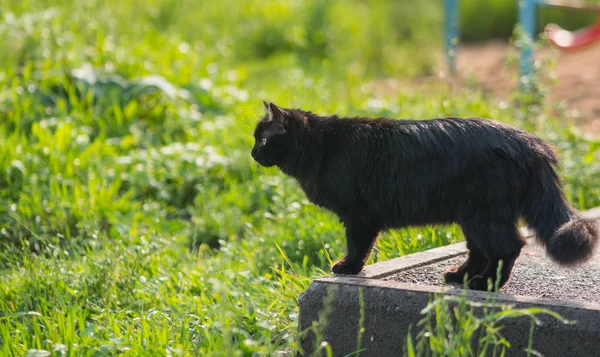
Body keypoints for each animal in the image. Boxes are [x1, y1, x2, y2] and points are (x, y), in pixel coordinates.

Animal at [251, 101, 596, 290]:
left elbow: (358, 246)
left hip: (483, 213)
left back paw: (486, 285)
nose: (253, 153)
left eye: (263, 140)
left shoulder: (358, 216)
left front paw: (348, 267)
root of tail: (531, 142)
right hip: (471, 215)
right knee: (479, 251)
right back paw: (459, 276)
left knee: (508, 247)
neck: (322, 146)